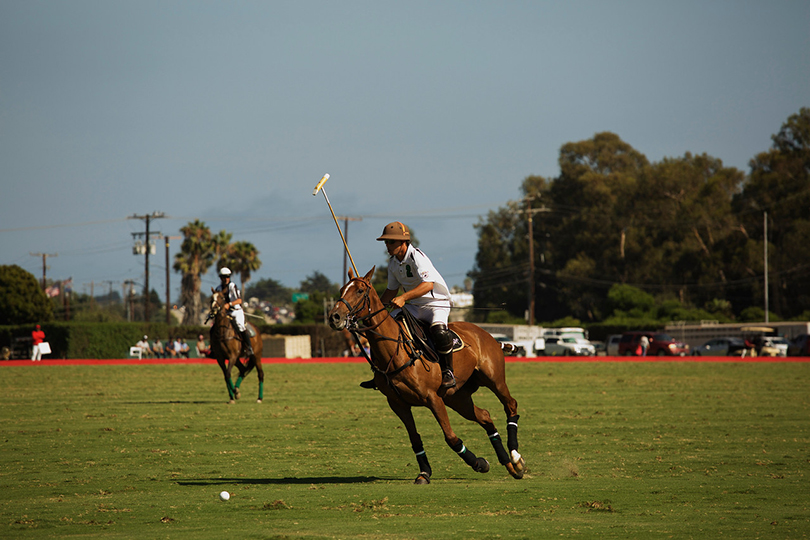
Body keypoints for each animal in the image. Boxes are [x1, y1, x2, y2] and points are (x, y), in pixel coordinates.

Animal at [326, 268, 528, 484]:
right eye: (342, 289)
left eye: (360, 291)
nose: (334, 317)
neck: (395, 351)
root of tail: (489, 335)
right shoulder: (398, 404)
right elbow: (415, 439)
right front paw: (424, 473)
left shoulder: (433, 398)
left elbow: (451, 437)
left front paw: (479, 463)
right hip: (457, 397)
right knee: (485, 416)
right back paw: (509, 465)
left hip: (494, 379)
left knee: (511, 405)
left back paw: (516, 458)